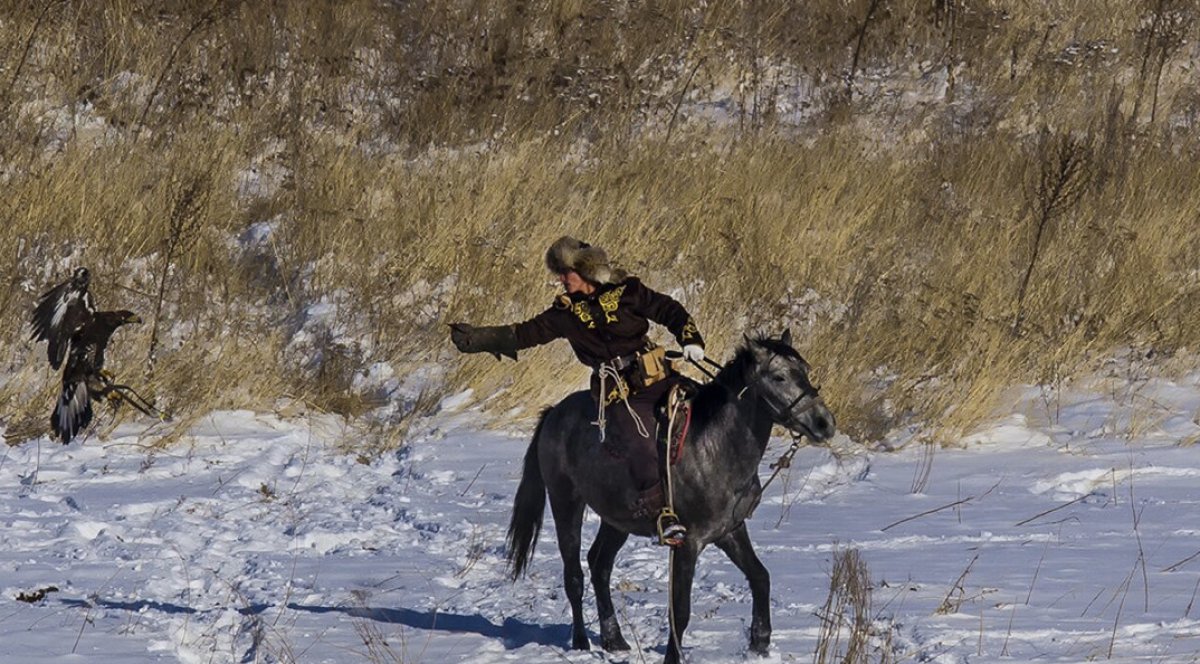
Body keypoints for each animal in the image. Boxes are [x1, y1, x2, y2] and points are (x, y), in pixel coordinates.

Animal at [504, 331, 835, 662]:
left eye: (804, 371)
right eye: (779, 377)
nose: (824, 423)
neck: (714, 445)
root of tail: (553, 414)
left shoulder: (729, 531)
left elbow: (760, 577)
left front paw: (760, 641)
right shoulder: (687, 542)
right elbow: (681, 610)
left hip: (617, 520)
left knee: (599, 565)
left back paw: (614, 639)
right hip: (565, 502)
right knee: (574, 576)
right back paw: (581, 642)